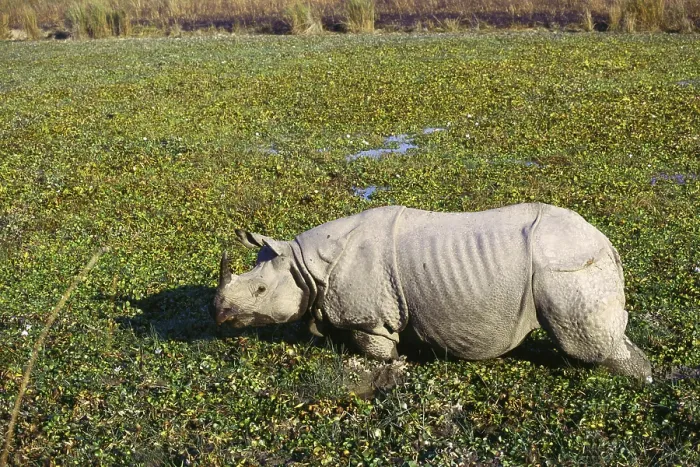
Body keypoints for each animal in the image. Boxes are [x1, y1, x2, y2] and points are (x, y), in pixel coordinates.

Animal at [213, 203, 652, 382]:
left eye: (260, 289)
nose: (219, 315)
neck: (305, 266)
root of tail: (606, 242)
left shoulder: (371, 319)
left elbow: (377, 352)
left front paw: (390, 369)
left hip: (566, 268)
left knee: (585, 342)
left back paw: (638, 381)